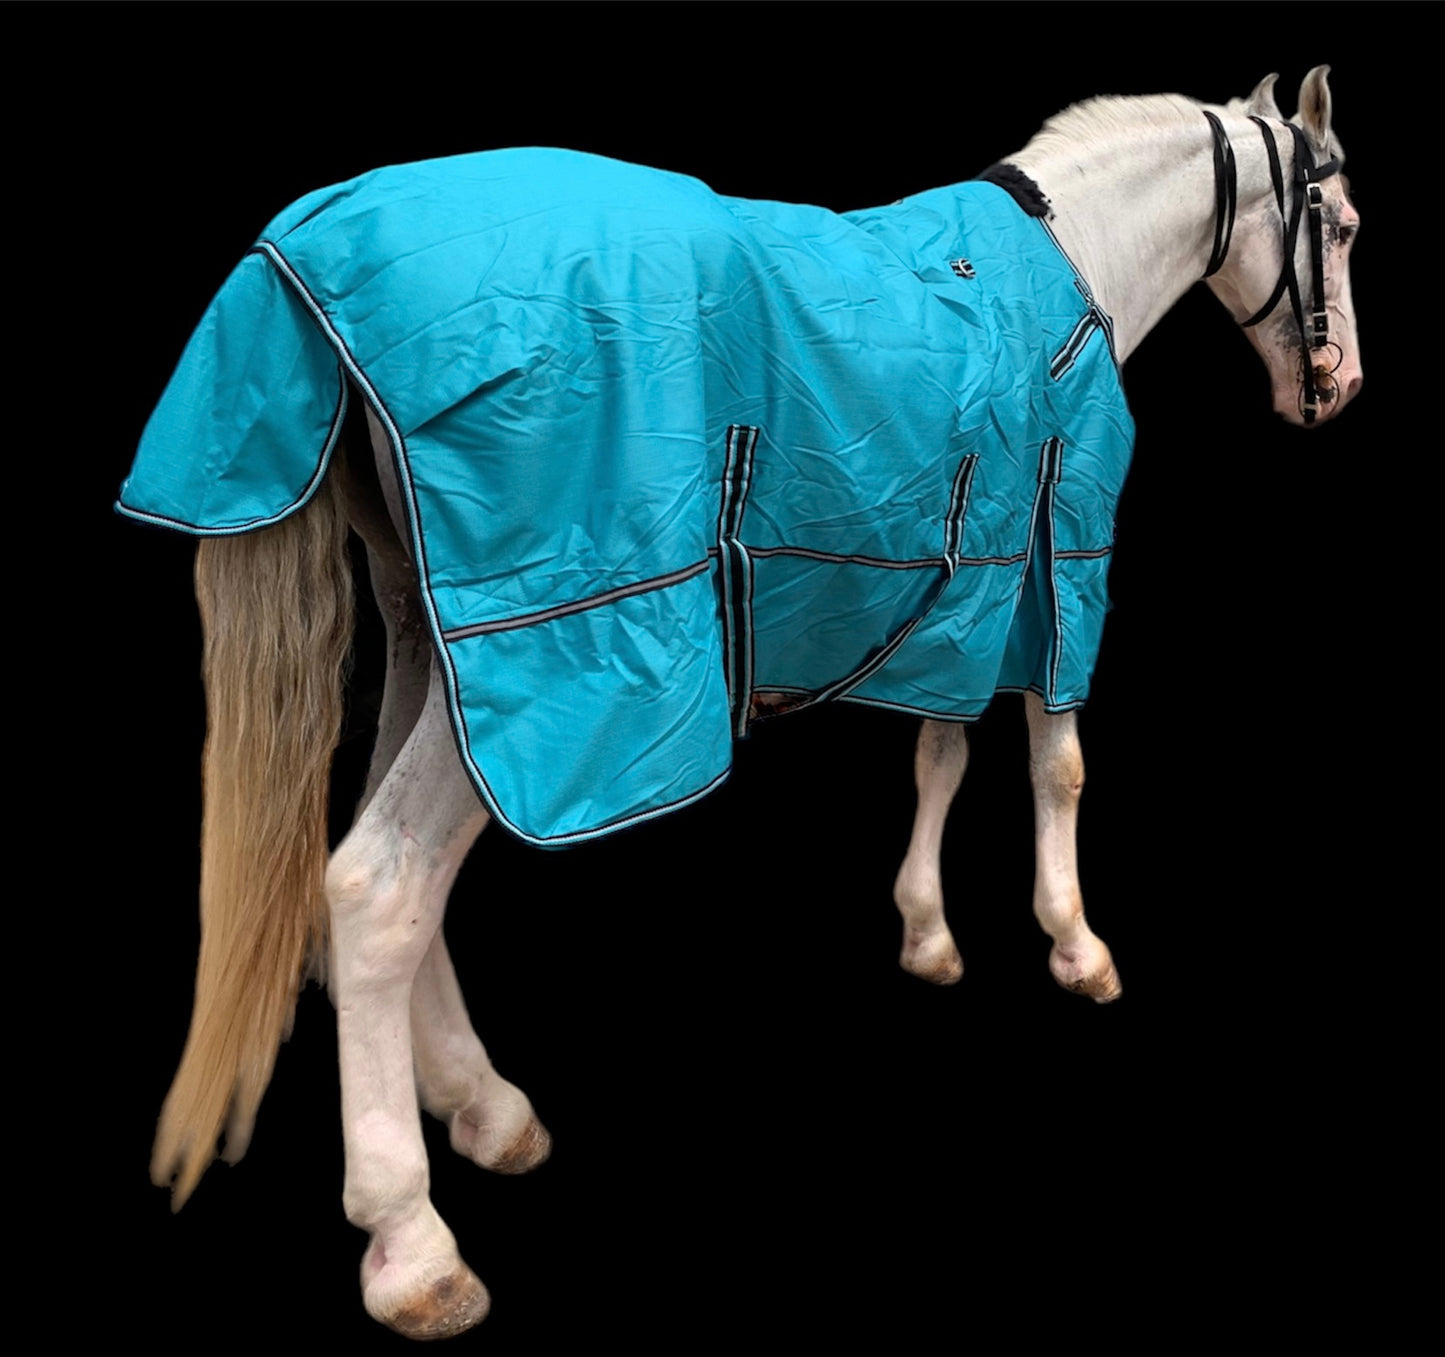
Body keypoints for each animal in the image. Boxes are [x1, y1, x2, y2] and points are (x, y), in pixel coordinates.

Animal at [118, 67, 1361, 1339]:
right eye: (1343, 227)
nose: (1335, 388)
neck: (1068, 259)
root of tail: (316, 245)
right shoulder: (1062, 560)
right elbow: (1054, 768)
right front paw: (1075, 946)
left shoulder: (970, 587)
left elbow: (939, 758)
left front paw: (926, 932)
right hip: (528, 676)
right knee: (379, 889)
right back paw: (412, 1242)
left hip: (443, 657)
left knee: (388, 871)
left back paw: (482, 1104)